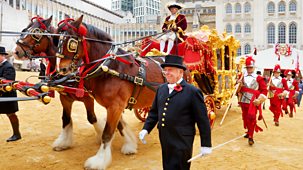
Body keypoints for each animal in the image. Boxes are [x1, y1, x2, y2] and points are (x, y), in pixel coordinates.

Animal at [13, 16, 104, 150]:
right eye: (24, 30)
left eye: (36, 33)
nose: (16, 51)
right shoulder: (65, 97)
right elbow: (65, 119)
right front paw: (63, 143)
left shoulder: (88, 98)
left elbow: (92, 118)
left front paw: (101, 136)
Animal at [55, 15, 191, 169]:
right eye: (57, 40)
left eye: (71, 42)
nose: (62, 70)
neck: (110, 67)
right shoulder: (114, 106)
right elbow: (119, 127)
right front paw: (130, 145)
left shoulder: (115, 105)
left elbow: (107, 133)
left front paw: (99, 160)